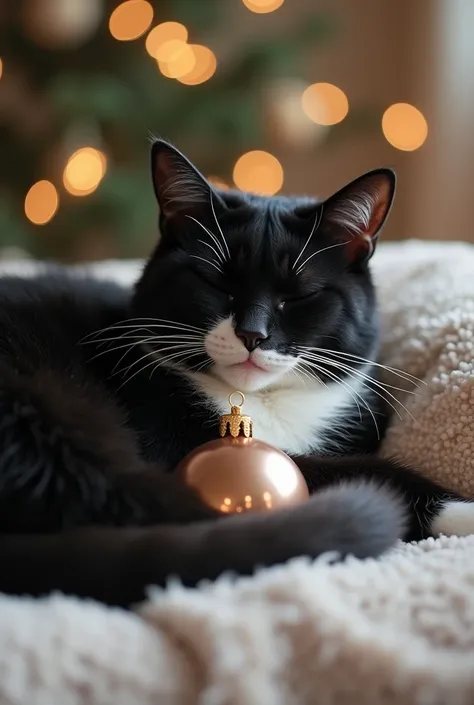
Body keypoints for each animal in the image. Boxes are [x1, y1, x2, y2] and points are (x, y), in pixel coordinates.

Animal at [0, 139, 468, 604]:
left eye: (300, 296)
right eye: (215, 284)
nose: (252, 333)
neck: (264, 403)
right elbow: (346, 470)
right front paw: (461, 508)